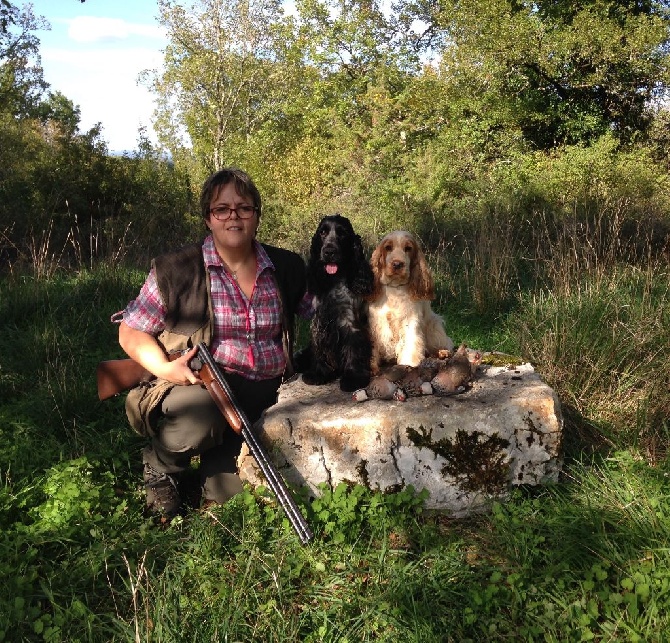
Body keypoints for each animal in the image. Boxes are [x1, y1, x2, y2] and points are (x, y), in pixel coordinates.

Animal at [296, 215, 376, 392]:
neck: (333, 281)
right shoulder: (320, 323)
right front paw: (318, 373)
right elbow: (319, 350)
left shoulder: (350, 323)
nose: (329, 252)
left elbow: (354, 348)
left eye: (342, 233)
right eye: (322, 232)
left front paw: (353, 378)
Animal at [368, 230, 456, 372]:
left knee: (444, 343)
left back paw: (443, 352)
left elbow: (411, 340)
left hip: (434, 325)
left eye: (408, 248)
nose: (397, 264)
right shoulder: (375, 321)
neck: (395, 287)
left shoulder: (410, 319)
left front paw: (409, 363)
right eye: (388, 247)